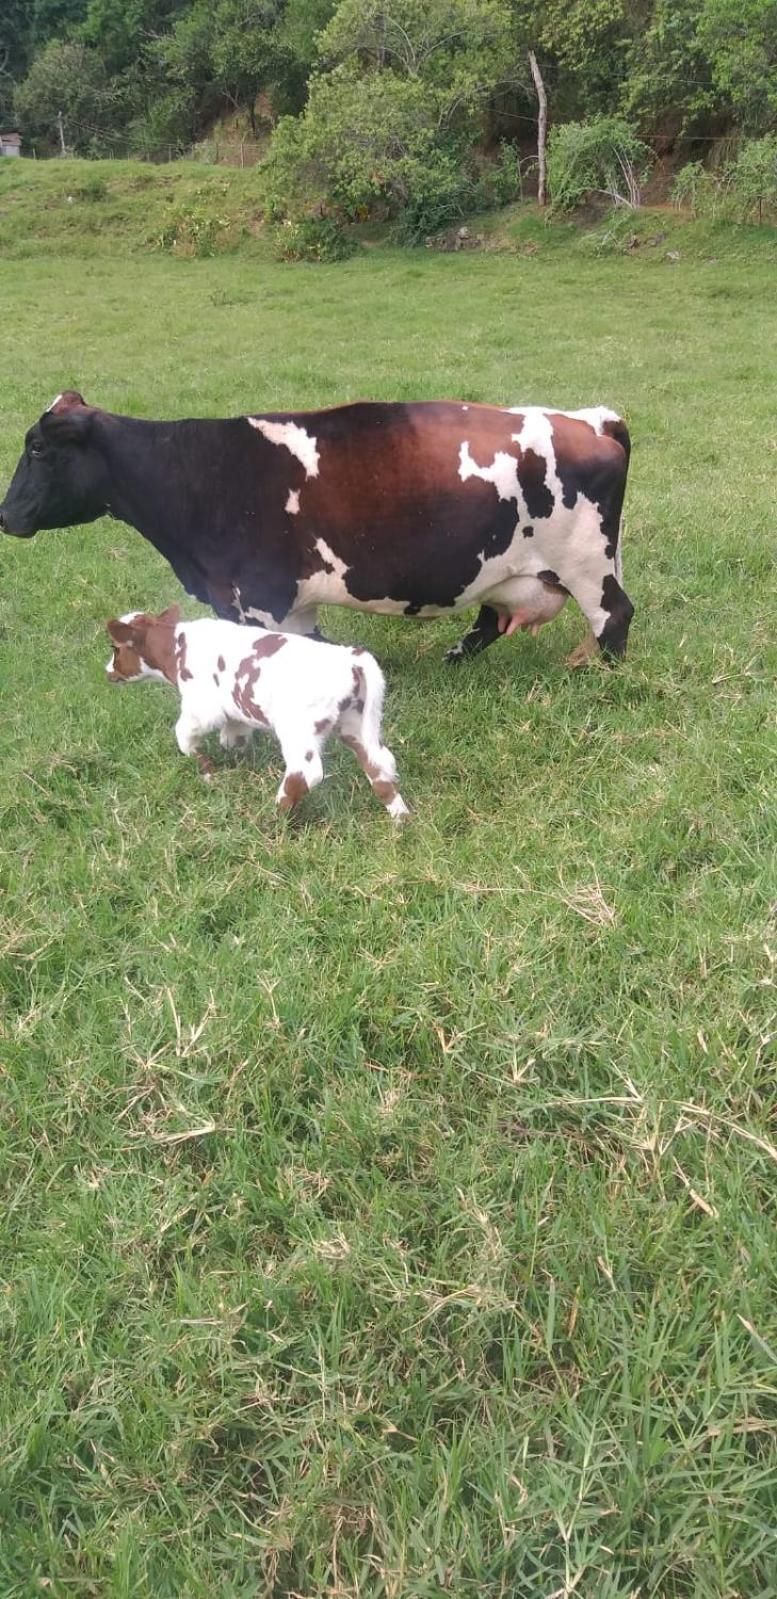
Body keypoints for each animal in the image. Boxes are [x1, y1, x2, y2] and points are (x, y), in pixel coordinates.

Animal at [0, 391, 629, 661]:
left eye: (37, 449)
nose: (4, 514)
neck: (199, 472)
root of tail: (588, 417)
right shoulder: (285, 605)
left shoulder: (262, 598)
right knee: (490, 620)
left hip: (586, 563)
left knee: (614, 616)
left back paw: (598, 673)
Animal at [106, 601, 409, 818]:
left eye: (116, 649)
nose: (107, 671)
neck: (174, 646)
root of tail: (352, 659)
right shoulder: (234, 706)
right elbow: (233, 734)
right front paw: (234, 755)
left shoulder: (202, 705)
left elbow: (184, 734)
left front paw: (206, 771)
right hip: (356, 722)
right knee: (378, 763)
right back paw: (400, 818)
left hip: (298, 728)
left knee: (306, 772)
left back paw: (274, 816)